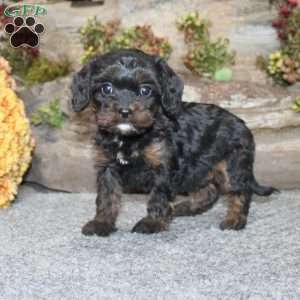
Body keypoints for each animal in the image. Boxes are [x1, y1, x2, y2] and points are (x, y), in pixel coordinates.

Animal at [71, 49, 278, 237]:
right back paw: (183, 207)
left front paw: (152, 223)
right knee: (209, 192)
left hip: (233, 166)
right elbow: (107, 198)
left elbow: (158, 196)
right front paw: (102, 223)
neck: (129, 137)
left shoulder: (163, 167)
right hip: (200, 169)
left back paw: (235, 219)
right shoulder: (107, 168)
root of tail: (243, 125)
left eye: (145, 90)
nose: (124, 111)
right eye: (106, 88)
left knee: (240, 192)